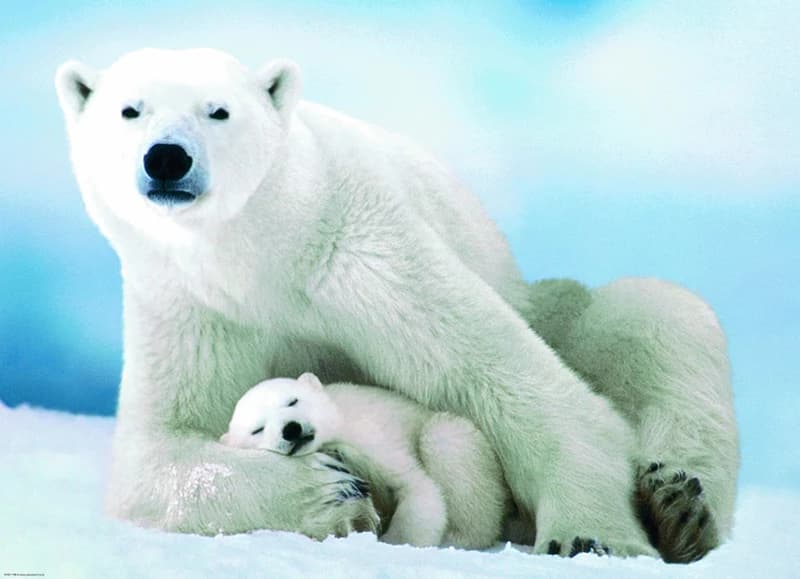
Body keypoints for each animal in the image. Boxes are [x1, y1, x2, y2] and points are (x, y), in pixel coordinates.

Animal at [220, 372, 512, 549]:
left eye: (293, 401)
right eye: (257, 429)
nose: (291, 429)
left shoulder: (371, 436)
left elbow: (416, 487)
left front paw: (396, 542)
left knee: (445, 436)